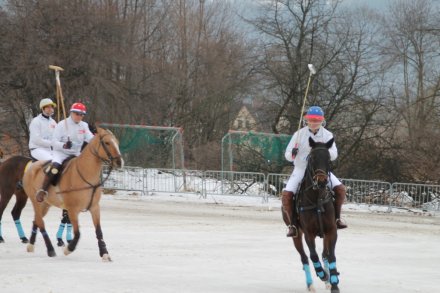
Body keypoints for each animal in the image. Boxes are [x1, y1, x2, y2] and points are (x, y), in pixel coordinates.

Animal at [21, 126, 123, 258]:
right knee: (41, 223)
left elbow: (99, 231)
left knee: (36, 221)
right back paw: (50, 249)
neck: (86, 175)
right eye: (107, 143)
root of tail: (31, 167)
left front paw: (104, 253)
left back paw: (31, 245)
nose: (120, 162)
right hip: (36, 201)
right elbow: (78, 233)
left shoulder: (95, 207)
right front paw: (68, 249)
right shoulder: (73, 210)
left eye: (117, 142)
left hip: (45, 204)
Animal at [284, 137, 342, 292]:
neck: (317, 198)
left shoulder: (331, 230)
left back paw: (328, 281)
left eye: (328, 158)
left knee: (325, 254)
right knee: (304, 257)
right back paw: (311, 284)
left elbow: (331, 256)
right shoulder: (308, 233)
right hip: (296, 235)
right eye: (312, 158)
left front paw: (334, 283)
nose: (321, 181)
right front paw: (322, 274)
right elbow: (313, 255)